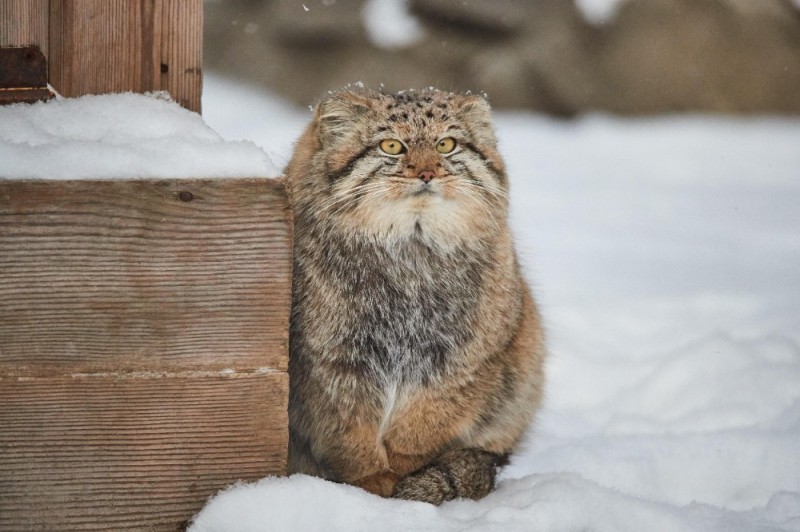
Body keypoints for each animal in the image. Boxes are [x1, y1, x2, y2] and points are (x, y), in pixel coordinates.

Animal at [284, 86, 548, 502]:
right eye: (392, 145)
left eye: (446, 144)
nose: (427, 172)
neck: (410, 257)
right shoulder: (330, 363)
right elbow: (351, 439)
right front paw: (372, 486)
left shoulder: (461, 363)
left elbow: (419, 432)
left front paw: (403, 481)